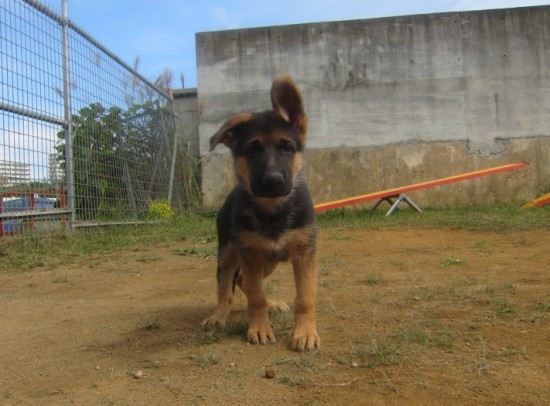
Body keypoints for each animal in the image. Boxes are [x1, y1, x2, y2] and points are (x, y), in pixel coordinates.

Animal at [204, 74, 322, 350]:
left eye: (287, 148)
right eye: (252, 150)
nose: (273, 181)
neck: (273, 211)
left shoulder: (305, 254)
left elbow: (305, 297)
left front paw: (305, 333)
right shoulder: (250, 254)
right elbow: (255, 295)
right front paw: (259, 328)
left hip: (268, 261)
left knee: (242, 281)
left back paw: (274, 304)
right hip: (229, 254)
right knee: (227, 287)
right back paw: (218, 315)